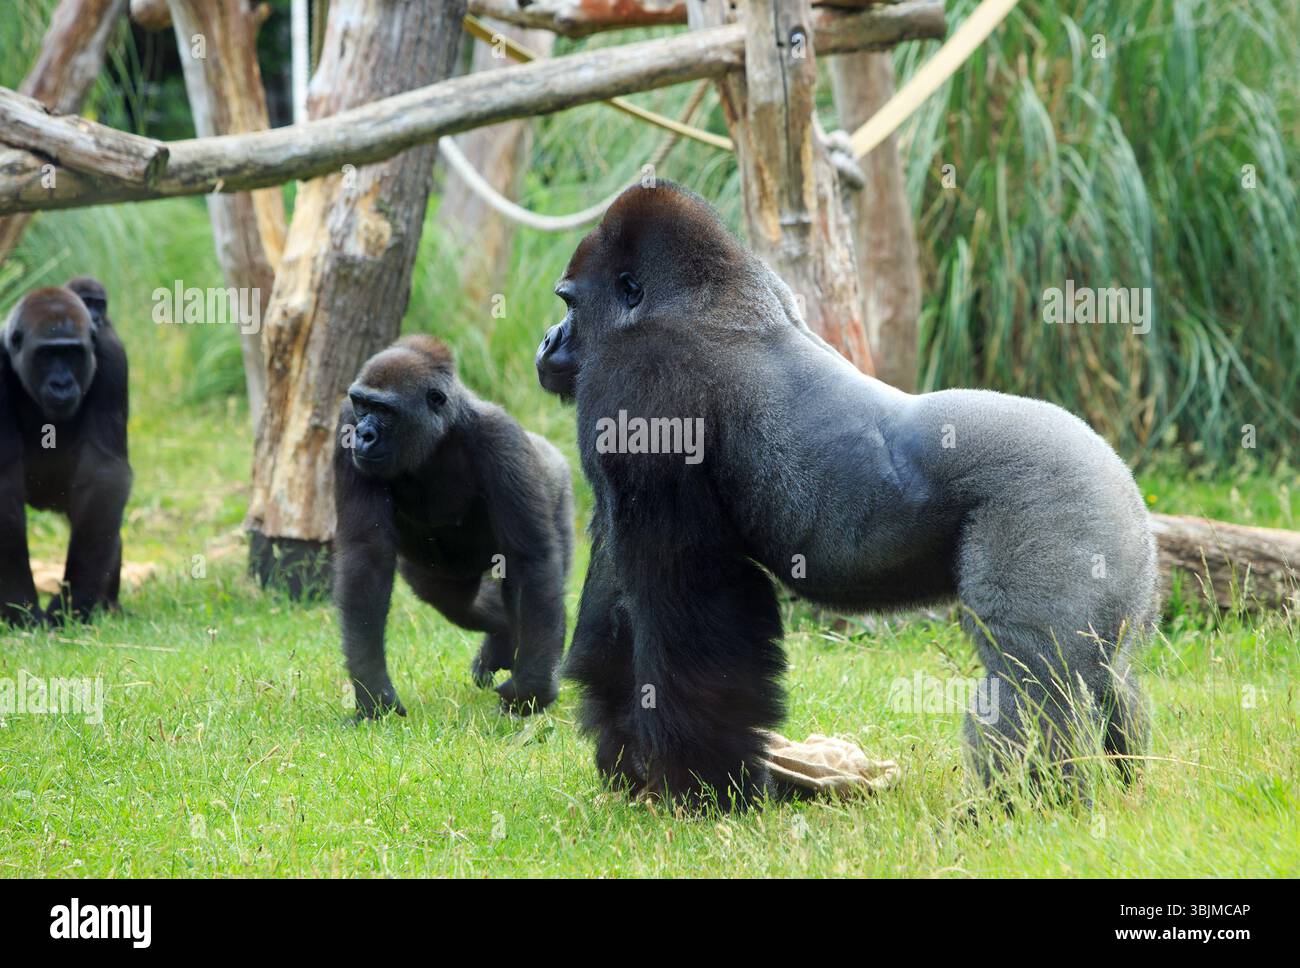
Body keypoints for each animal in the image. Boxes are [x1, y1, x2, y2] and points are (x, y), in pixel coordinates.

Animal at [0, 280, 132, 626]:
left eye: (72, 353)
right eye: (47, 355)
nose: (61, 384)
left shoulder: (112, 356)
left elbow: (105, 475)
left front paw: (73, 604)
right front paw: (20, 608)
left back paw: (108, 605)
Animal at [333, 334, 574, 719]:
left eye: (384, 411)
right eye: (360, 404)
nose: (364, 435)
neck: (441, 431)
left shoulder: (500, 437)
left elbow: (530, 559)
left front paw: (532, 690)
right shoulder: (345, 422)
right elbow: (366, 558)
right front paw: (374, 694)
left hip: (559, 486)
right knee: (456, 601)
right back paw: (502, 640)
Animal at [536, 182, 1154, 810]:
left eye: (568, 304)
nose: (547, 340)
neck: (696, 298)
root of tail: (1121, 477)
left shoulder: (643, 382)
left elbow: (687, 592)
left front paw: (701, 785)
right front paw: (628, 753)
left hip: (1054, 507)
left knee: (1032, 679)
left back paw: (1023, 803)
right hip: (1117, 552)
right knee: (1105, 672)